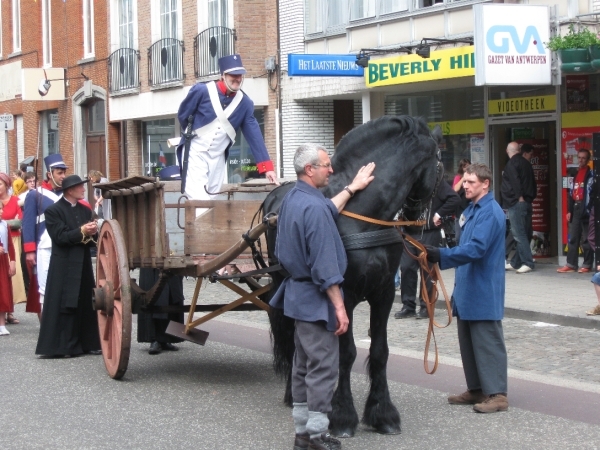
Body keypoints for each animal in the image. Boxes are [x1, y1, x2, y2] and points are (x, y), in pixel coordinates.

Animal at [262, 115, 440, 436]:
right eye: (441, 164)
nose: (417, 218)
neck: (363, 215)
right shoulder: (342, 295)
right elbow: (345, 353)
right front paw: (343, 415)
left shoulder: (383, 293)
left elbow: (380, 351)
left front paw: (383, 413)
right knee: (293, 336)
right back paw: (295, 394)